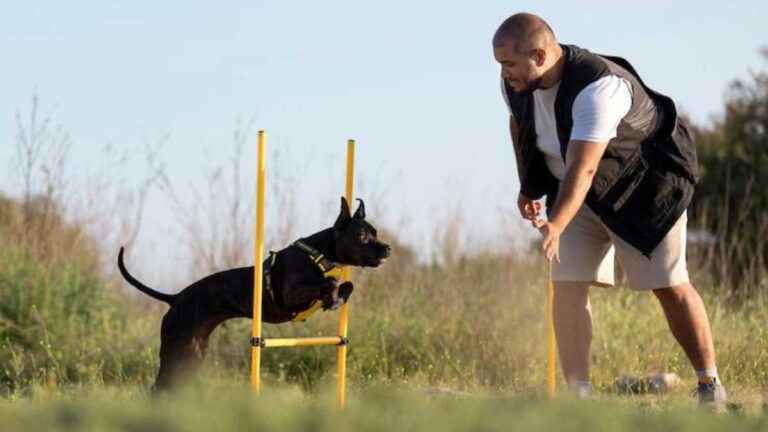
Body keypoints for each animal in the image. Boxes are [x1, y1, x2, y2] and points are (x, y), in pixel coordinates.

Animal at [118, 197, 390, 390]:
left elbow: (347, 285)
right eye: (361, 235)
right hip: (175, 351)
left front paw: (335, 298)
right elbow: (329, 282)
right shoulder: (290, 295)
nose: (387, 248)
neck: (318, 254)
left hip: (192, 355)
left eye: (375, 232)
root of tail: (175, 298)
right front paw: (331, 295)